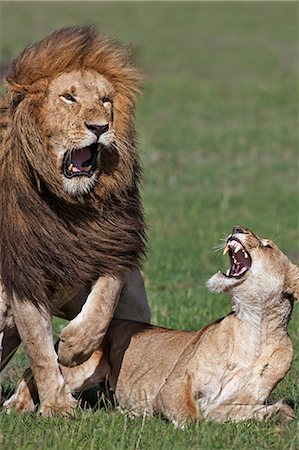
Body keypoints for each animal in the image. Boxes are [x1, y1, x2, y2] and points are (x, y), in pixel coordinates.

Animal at [0, 26, 150, 416]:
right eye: (68, 97)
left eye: (107, 100)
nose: (99, 127)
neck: (71, 204)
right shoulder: (24, 274)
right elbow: (38, 347)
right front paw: (56, 406)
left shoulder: (112, 246)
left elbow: (100, 310)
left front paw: (73, 346)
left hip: (137, 309)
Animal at [4, 227, 298, 428]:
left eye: (268, 246)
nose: (238, 228)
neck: (253, 329)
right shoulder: (175, 384)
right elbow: (193, 417)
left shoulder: (229, 404)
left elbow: (239, 413)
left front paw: (277, 413)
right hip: (82, 367)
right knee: (37, 370)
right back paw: (16, 406)